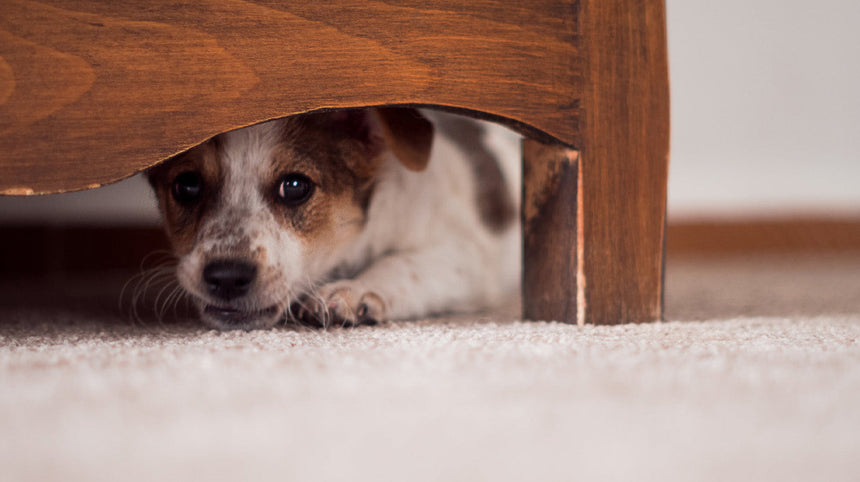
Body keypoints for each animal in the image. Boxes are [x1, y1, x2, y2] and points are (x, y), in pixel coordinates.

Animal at [148, 107, 520, 330]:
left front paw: (354, 290)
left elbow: (403, 263)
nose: (226, 277)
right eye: (187, 186)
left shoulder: (465, 255)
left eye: (295, 186)